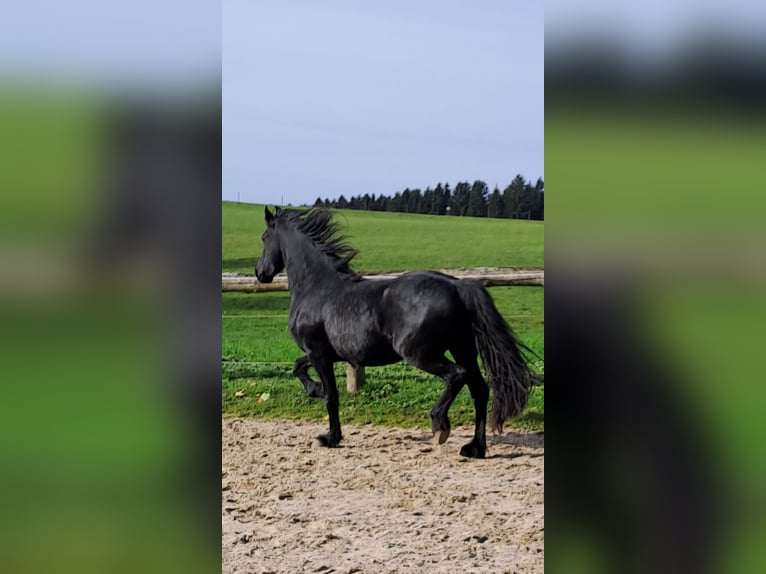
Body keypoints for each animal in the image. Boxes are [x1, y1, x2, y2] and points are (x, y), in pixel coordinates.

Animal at [255, 206, 534, 458]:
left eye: (264, 237)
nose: (260, 273)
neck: (317, 288)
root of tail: (457, 285)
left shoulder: (319, 353)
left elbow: (331, 395)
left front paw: (329, 438)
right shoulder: (326, 354)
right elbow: (298, 366)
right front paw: (315, 390)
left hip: (420, 353)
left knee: (457, 376)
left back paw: (439, 426)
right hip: (462, 348)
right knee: (480, 390)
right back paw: (474, 449)